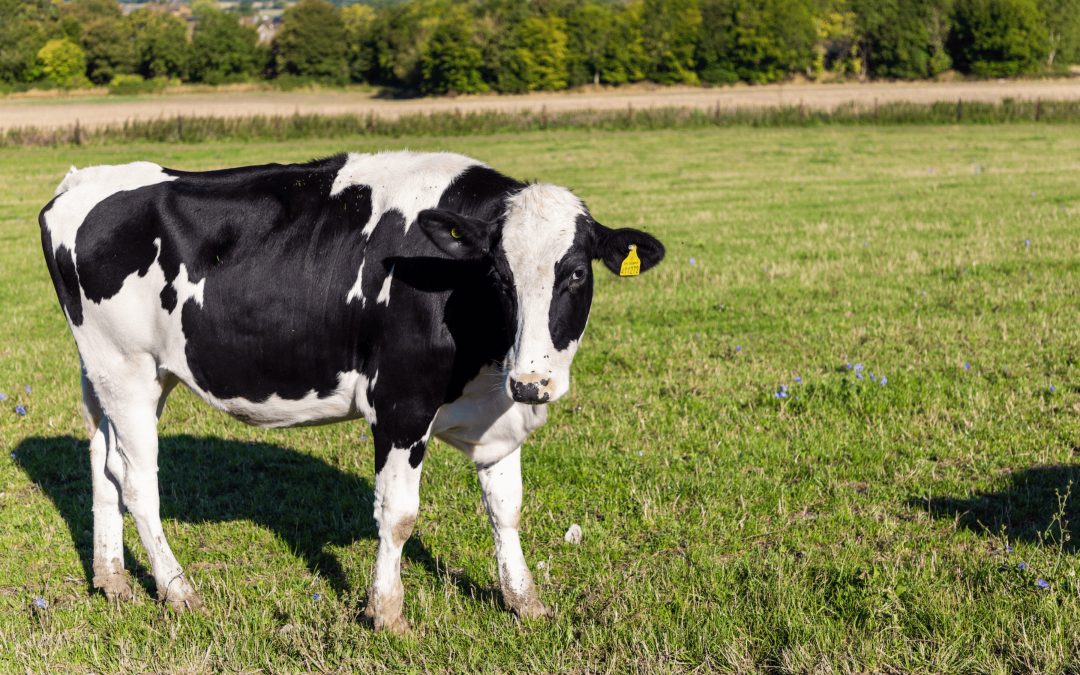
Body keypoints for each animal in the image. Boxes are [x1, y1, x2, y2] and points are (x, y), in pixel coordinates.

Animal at [38, 151, 664, 633]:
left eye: (577, 273)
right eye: (498, 275)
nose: (533, 381)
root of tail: (82, 179)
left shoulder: (498, 414)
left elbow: (506, 508)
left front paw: (524, 601)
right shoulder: (399, 404)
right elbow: (399, 514)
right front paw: (386, 613)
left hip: (122, 375)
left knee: (102, 460)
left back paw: (113, 579)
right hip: (124, 369)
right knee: (137, 481)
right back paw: (178, 590)